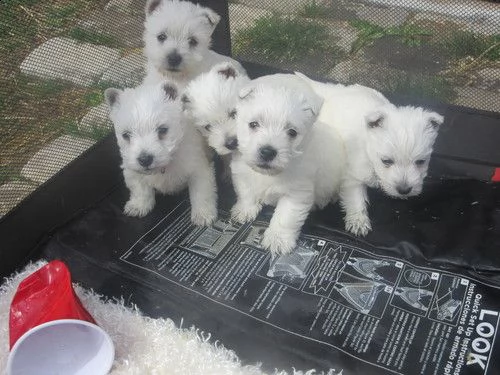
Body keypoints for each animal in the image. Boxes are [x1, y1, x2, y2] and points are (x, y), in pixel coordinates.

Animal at [104, 81, 216, 226]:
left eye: (163, 130)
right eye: (126, 135)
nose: (145, 159)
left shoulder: (199, 170)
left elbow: (201, 193)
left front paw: (203, 214)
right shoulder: (131, 170)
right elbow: (140, 189)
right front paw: (138, 206)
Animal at [232, 75, 346, 258]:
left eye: (292, 132)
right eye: (253, 124)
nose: (267, 152)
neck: (269, 174)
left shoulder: (296, 193)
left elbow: (285, 217)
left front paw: (277, 239)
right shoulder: (242, 171)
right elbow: (246, 192)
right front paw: (244, 210)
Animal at [294, 73, 444, 236]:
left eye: (421, 161)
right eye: (386, 161)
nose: (404, 190)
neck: (368, 148)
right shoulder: (352, 174)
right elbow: (355, 197)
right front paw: (358, 222)